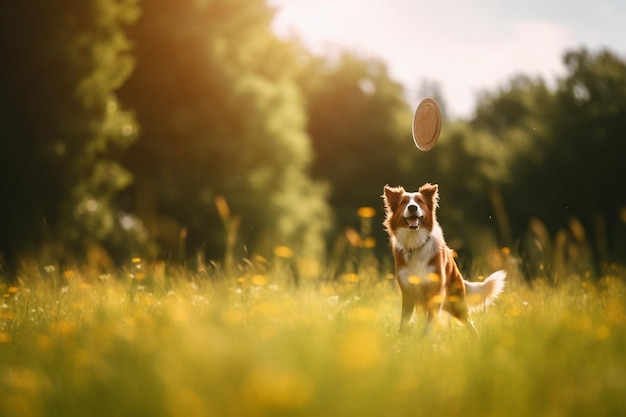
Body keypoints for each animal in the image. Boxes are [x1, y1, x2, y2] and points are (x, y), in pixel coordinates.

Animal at [380, 184, 508, 334]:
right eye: (403, 202)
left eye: (420, 201)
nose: (412, 207)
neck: (415, 243)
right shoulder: (407, 292)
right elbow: (404, 322)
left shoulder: (434, 290)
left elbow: (429, 324)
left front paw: (426, 338)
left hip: (457, 305)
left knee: (470, 324)